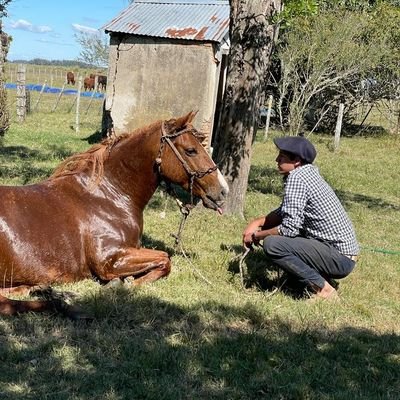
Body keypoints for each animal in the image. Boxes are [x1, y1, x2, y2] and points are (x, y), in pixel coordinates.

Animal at [0, 111, 228, 318]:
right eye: (191, 150)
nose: (223, 191)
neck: (107, 196)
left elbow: (163, 259)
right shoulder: (108, 260)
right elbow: (165, 258)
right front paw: (124, 284)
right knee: (7, 304)